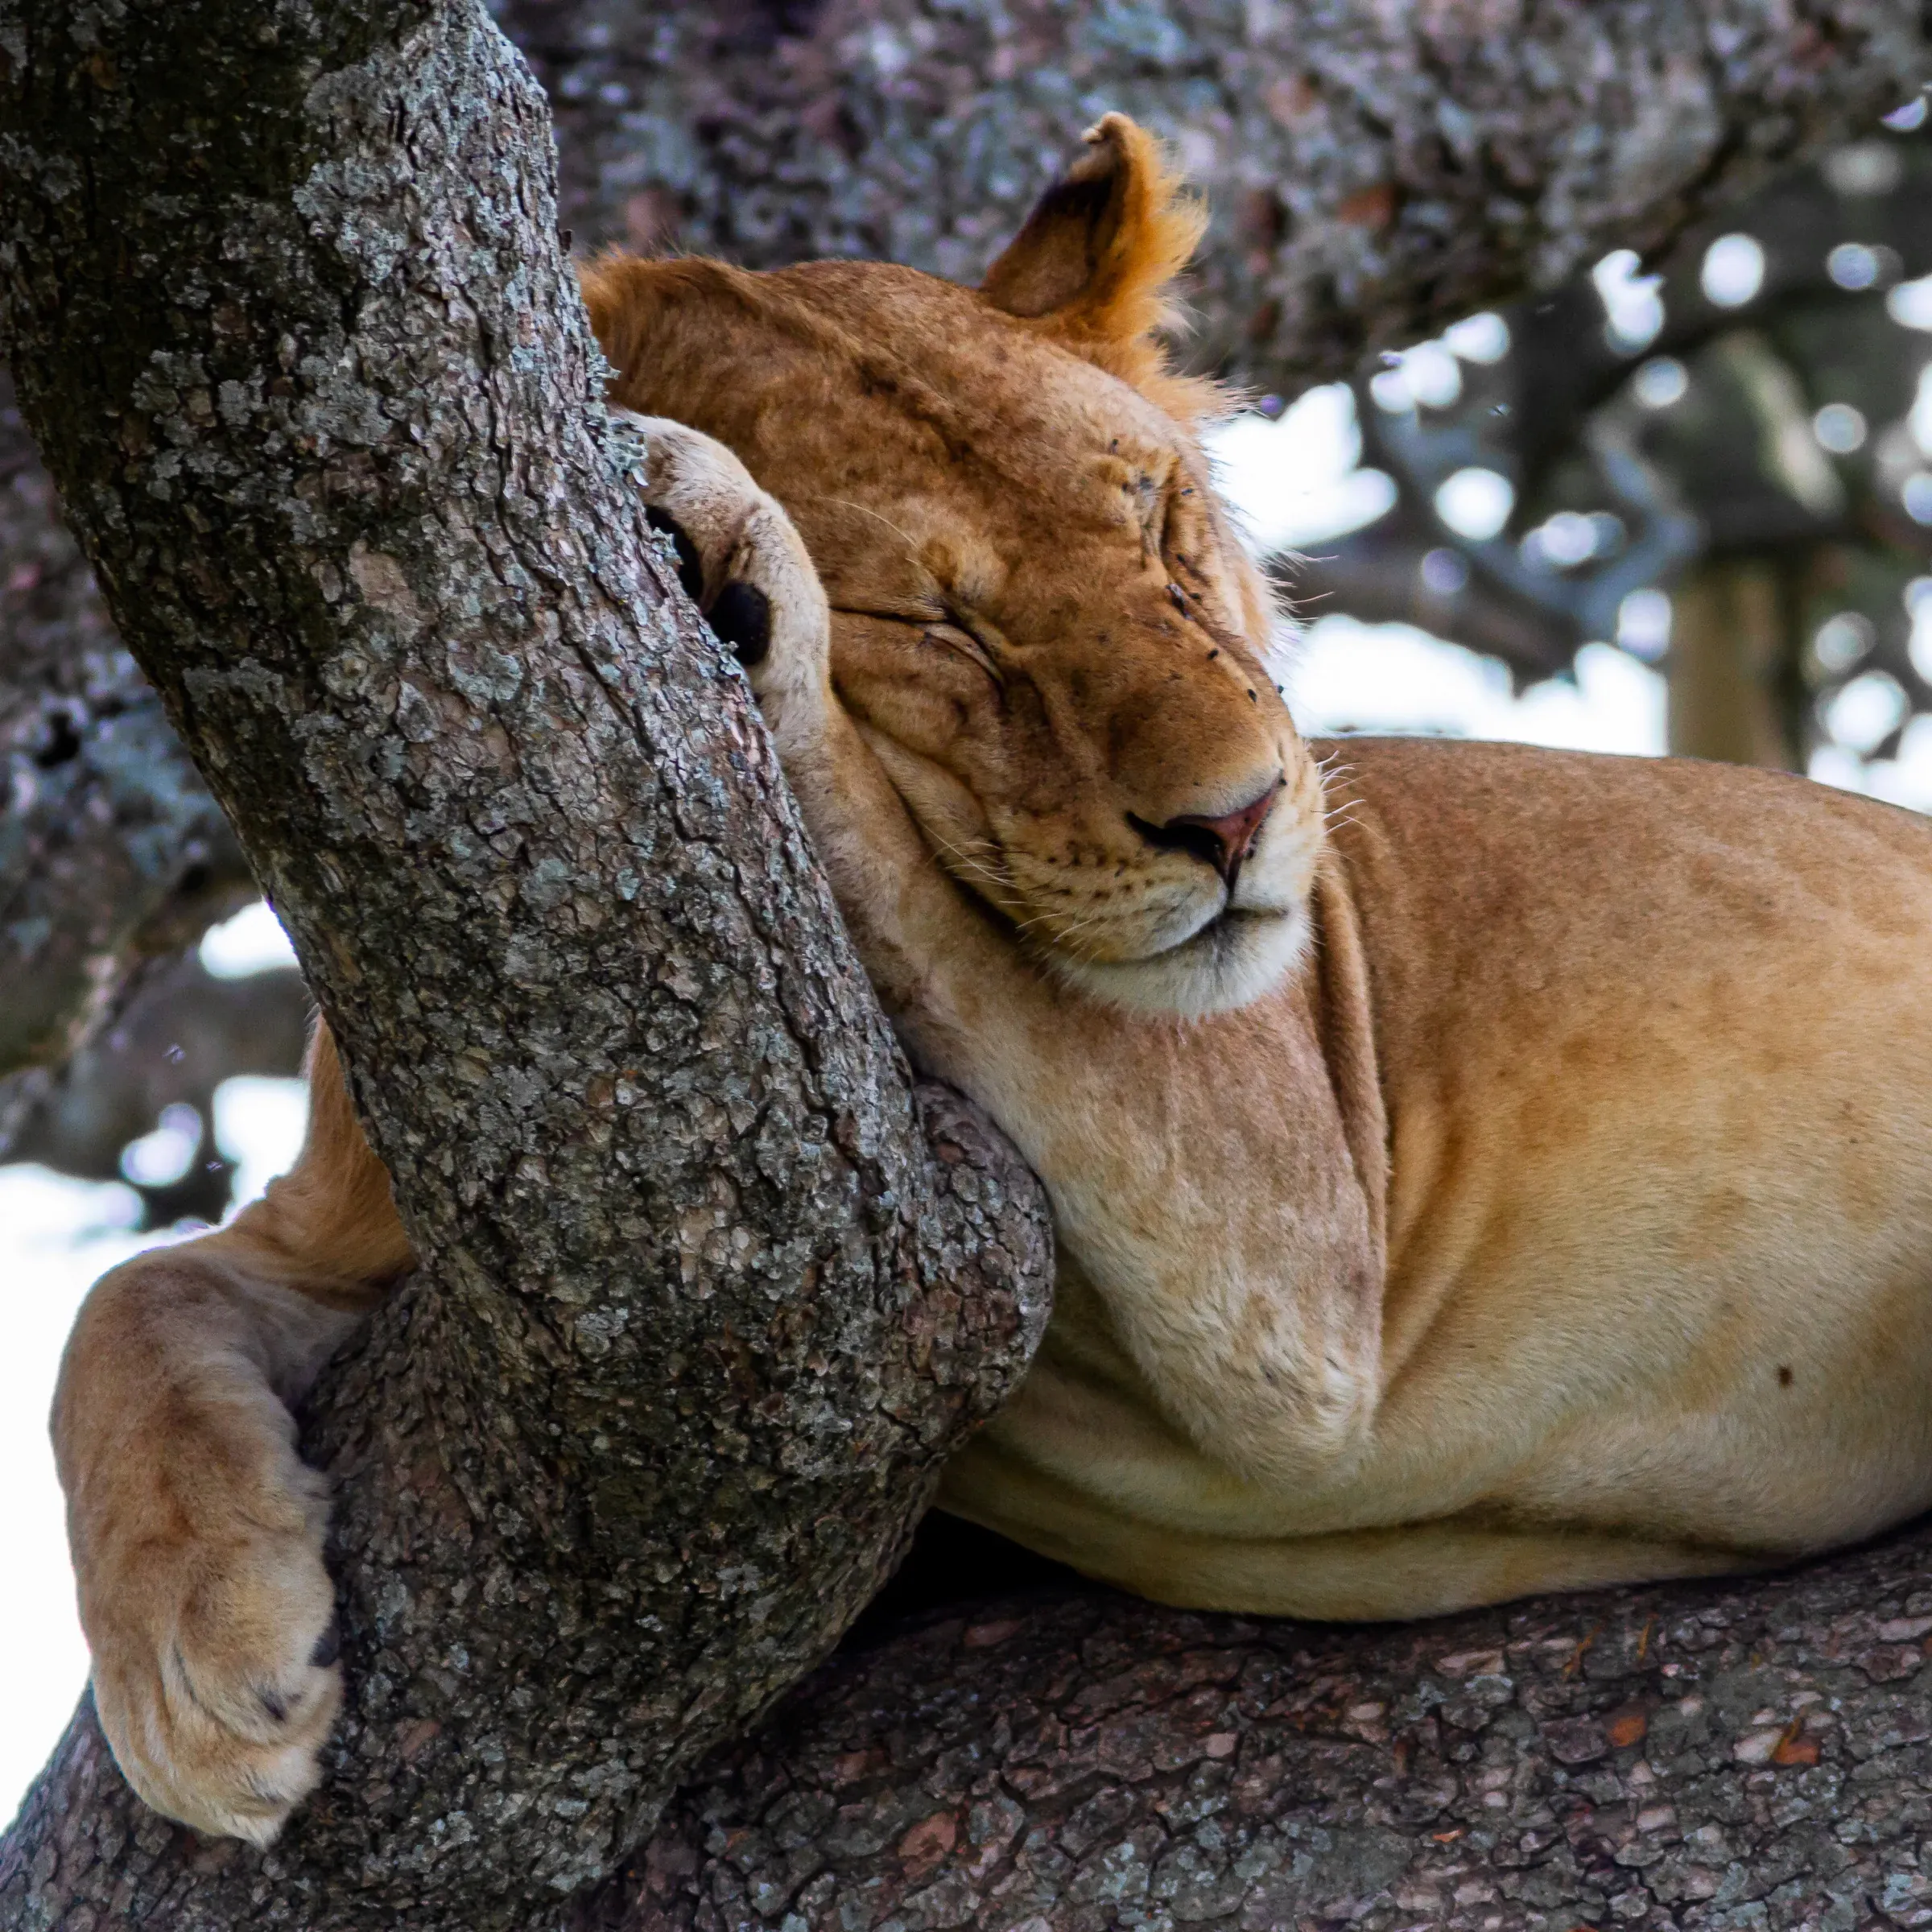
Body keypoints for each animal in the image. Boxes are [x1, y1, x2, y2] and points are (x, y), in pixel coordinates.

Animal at [50, 113, 1932, 1844]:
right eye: (943, 626)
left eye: (1163, 528)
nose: (1243, 818)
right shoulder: (342, 1230)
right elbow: (125, 1306)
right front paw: (201, 1669)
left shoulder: (1300, 1254)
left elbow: (901, 870)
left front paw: (727, 557)